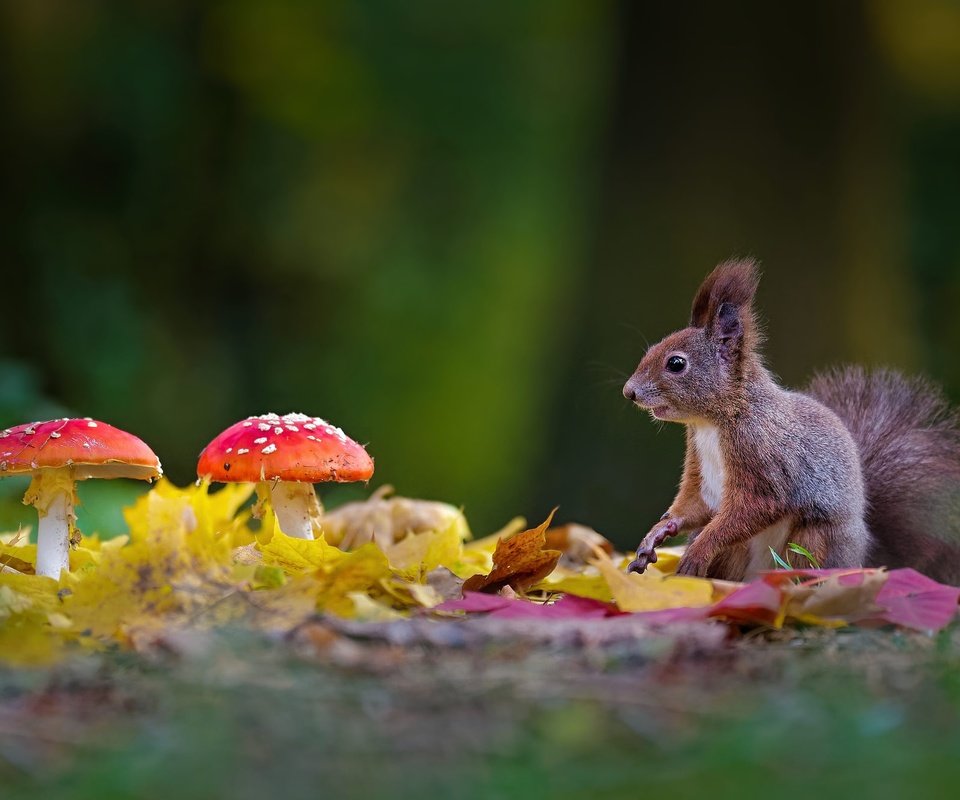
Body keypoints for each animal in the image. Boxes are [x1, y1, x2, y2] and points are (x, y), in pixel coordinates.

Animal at [624, 260, 960, 580]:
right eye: (652, 350)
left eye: (676, 363)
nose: (629, 392)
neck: (715, 422)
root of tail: (863, 556)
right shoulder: (699, 464)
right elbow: (694, 505)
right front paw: (656, 534)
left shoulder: (762, 454)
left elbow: (757, 506)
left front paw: (699, 549)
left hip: (813, 541)